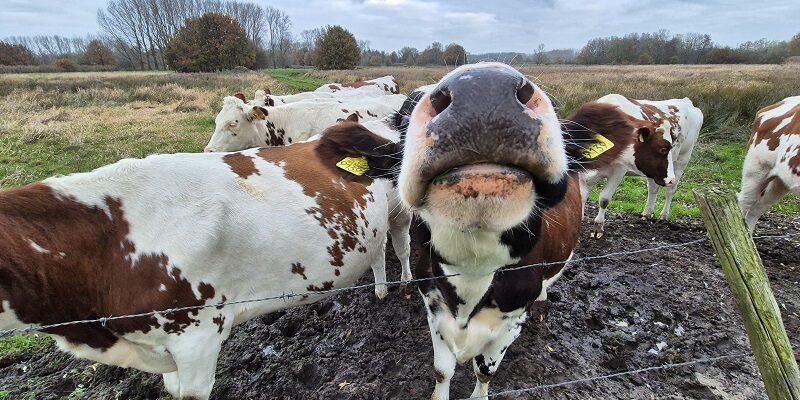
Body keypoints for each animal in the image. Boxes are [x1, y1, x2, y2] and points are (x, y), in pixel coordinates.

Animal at [330, 61, 632, 398]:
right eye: (402, 122)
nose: (483, 90)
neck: (473, 267)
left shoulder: (512, 319)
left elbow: (485, 370)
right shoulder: (433, 306)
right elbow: (441, 370)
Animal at [580, 94, 700, 238]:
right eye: (663, 149)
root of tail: (686, 101)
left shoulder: (619, 170)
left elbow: (604, 199)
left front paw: (598, 228)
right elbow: (581, 197)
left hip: (682, 160)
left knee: (671, 190)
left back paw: (664, 216)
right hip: (654, 171)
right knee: (653, 188)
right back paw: (646, 214)